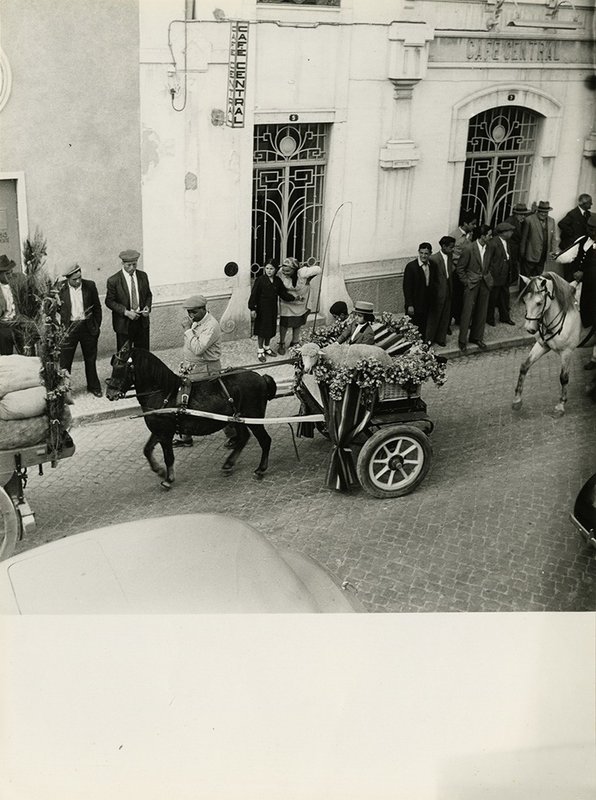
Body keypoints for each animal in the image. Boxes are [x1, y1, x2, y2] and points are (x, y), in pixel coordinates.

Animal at [105, 344, 278, 488]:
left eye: (120, 366)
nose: (109, 393)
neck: (163, 393)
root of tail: (261, 377)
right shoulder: (159, 430)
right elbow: (147, 449)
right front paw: (159, 470)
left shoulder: (165, 433)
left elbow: (168, 457)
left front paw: (168, 479)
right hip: (238, 418)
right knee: (243, 437)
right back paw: (229, 464)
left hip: (253, 417)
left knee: (265, 440)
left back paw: (260, 469)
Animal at [516, 272, 592, 416]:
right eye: (524, 301)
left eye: (539, 303)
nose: (529, 329)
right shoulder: (542, 345)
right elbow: (524, 366)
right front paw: (517, 399)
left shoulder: (567, 352)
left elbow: (564, 378)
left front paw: (561, 404)